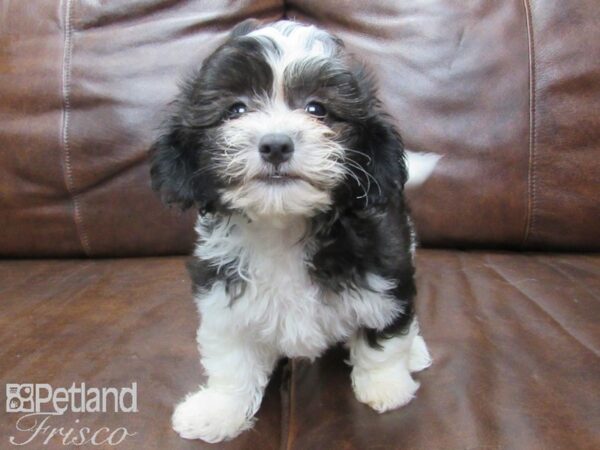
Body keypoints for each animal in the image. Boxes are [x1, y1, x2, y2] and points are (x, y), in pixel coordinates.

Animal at [149, 19, 432, 442]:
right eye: (236, 109)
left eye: (317, 109)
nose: (276, 144)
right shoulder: (223, 294)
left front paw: (385, 387)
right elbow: (232, 360)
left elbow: (383, 337)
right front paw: (220, 410)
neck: (282, 226)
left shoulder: (386, 272)